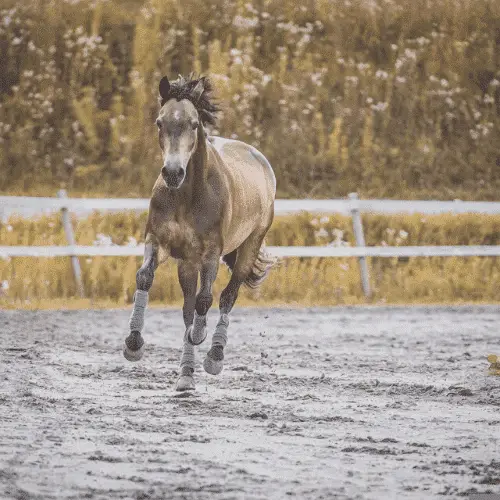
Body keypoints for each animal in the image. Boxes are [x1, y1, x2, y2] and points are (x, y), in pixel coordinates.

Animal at [121, 76, 278, 392]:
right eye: (159, 122)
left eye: (194, 124)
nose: (172, 173)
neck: (186, 196)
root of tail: (261, 162)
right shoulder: (159, 242)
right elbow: (145, 278)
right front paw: (133, 344)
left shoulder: (210, 254)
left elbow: (206, 300)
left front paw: (200, 336)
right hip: (187, 263)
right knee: (188, 307)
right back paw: (186, 373)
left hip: (249, 245)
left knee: (228, 296)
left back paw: (214, 356)